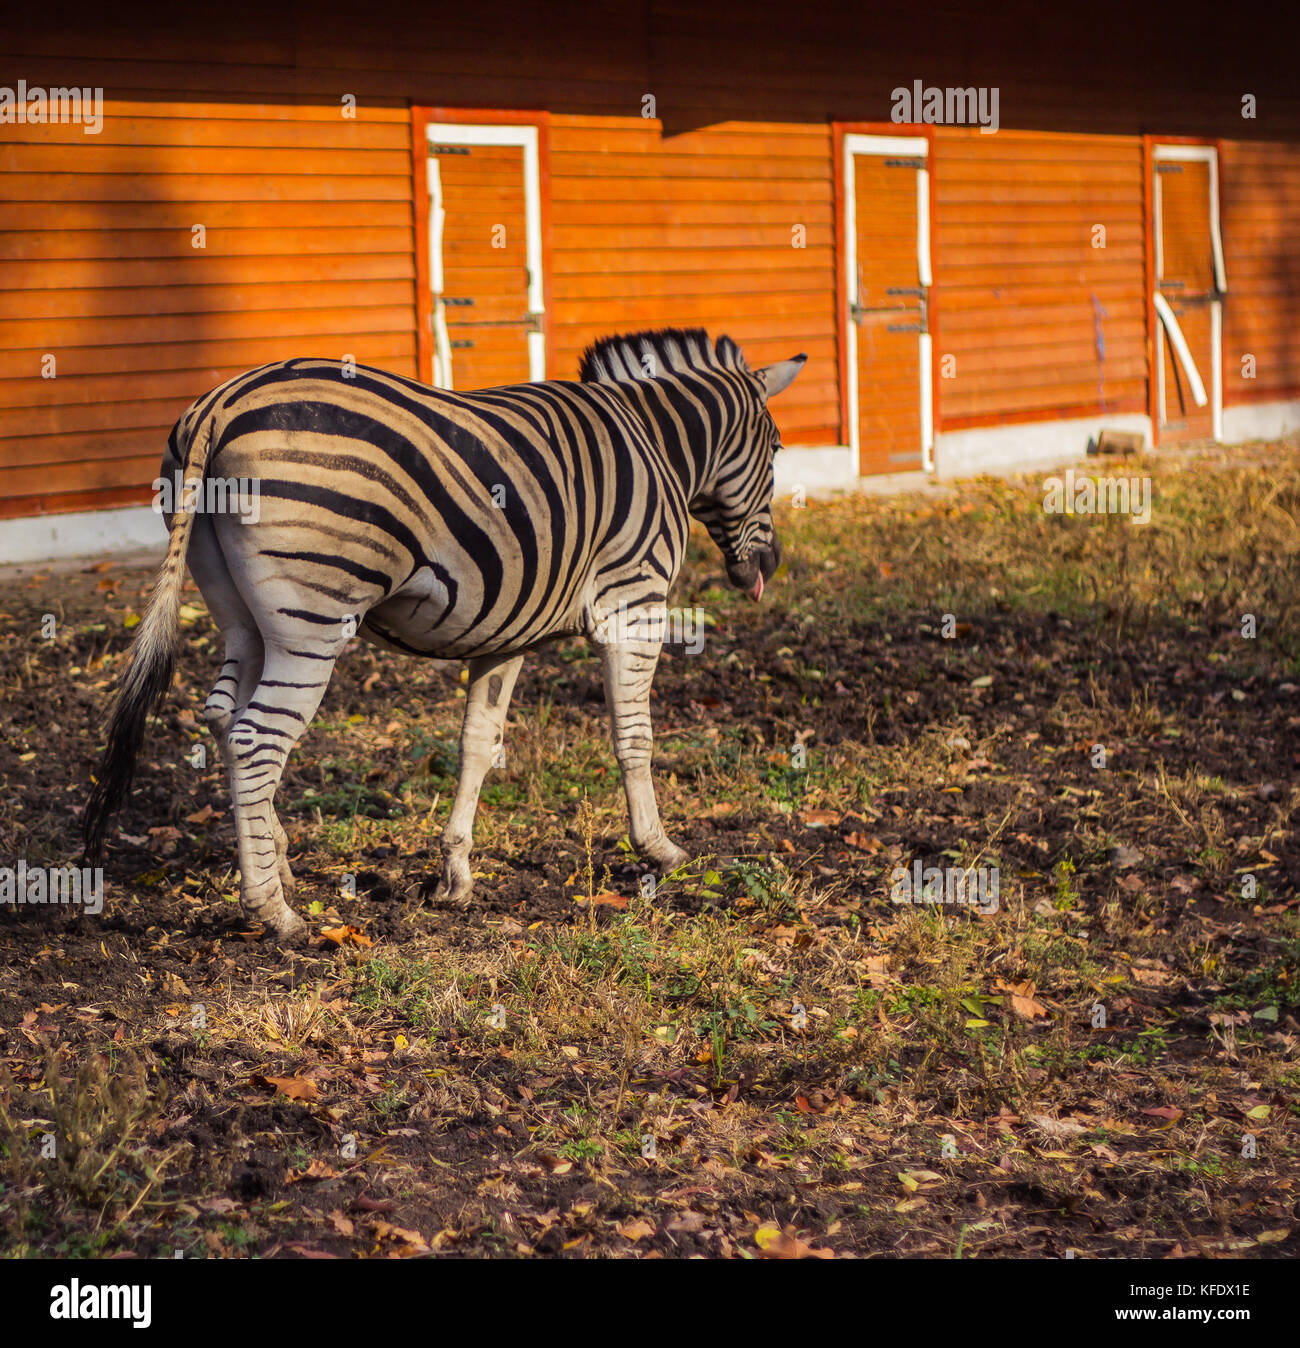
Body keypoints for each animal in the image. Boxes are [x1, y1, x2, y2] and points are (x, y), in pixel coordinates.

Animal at [83, 328, 803, 938]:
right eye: (776, 451)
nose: (768, 568)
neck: (660, 445)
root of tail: (222, 401)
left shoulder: (507, 632)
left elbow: (477, 745)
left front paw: (455, 875)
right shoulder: (635, 601)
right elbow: (635, 737)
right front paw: (658, 848)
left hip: (242, 617)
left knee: (221, 716)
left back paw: (276, 860)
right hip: (312, 623)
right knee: (255, 739)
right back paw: (274, 913)